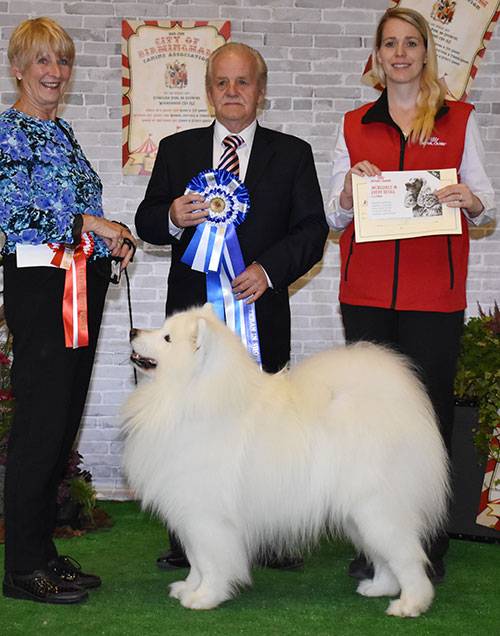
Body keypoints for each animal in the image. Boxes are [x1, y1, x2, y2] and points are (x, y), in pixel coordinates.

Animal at [120, 304, 450, 616]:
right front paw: (188, 588)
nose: (132, 330)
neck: (187, 396)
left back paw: (410, 604)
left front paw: (204, 597)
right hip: (357, 515)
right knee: (383, 557)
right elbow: (195, 561)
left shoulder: (207, 517)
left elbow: (210, 563)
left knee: (408, 557)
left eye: (167, 338)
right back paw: (379, 588)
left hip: (377, 510)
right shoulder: (189, 514)